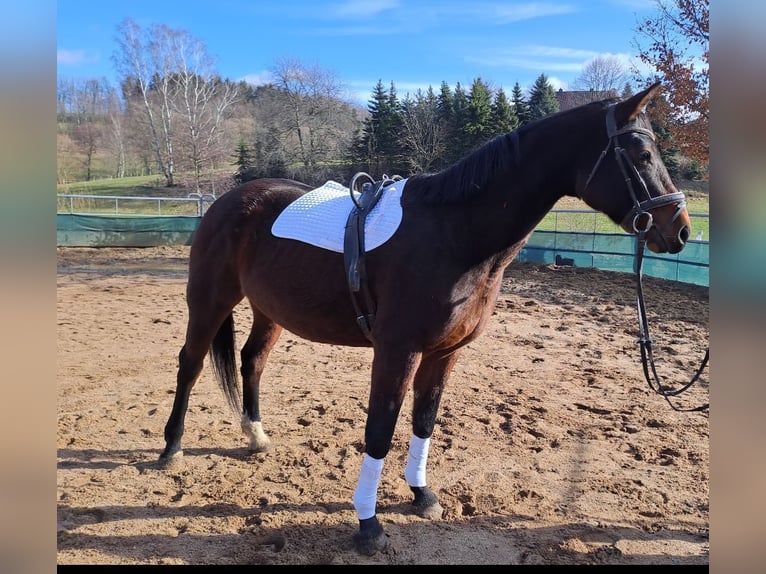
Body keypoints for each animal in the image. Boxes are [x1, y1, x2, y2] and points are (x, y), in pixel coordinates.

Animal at [159, 83, 692, 556]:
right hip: (209, 300)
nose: (680, 230)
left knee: (251, 361)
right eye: (641, 153)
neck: (453, 234)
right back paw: (171, 448)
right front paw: (368, 524)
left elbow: (424, 421)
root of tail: (229, 200)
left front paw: (421, 495)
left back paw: (255, 435)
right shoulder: (398, 351)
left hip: (269, 310)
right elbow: (379, 430)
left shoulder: (444, 353)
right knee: (190, 364)